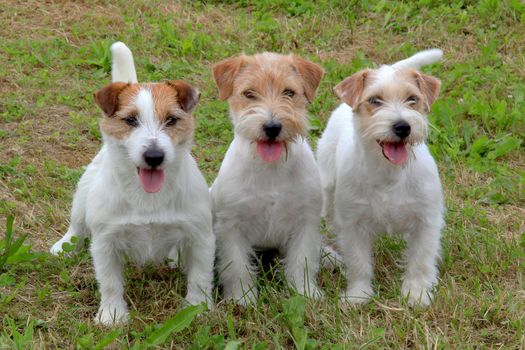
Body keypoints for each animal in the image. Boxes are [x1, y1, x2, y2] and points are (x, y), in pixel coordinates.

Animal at [48, 42, 213, 324]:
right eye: (130, 120)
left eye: (171, 120)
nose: (154, 157)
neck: (147, 196)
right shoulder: (105, 242)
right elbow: (110, 282)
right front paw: (112, 315)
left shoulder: (201, 236)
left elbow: (200, 277)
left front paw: (197, 308)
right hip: (82, 197)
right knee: (77, 225)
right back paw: (64, 246)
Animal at [211, 52, 326, 306]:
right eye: (249, 93)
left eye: (289, 92)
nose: (272, 127)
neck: (270, 168)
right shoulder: (231, 226)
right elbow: (237, 266)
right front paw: (242, 297)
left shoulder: (305, 222)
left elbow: (302, 260)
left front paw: (304, 292)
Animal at [318, 49, 444, 306]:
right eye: (375, 100)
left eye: (412, 99)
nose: (402, 127)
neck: (389, 174)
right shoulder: (353, 224)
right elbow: (358, 263)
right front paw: (358, 295)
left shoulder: (427, 220)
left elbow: (420, 260)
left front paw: (416, 293)